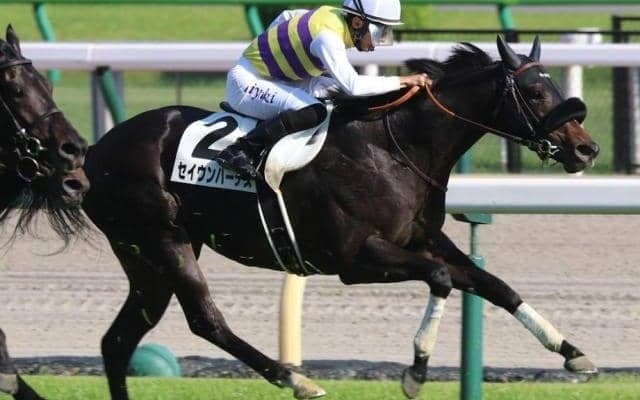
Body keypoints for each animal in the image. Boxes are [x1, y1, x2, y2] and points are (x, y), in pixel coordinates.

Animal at [82, 36, 599, 399]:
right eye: (534, 91)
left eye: (555, 86)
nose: (586, 149)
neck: (393, 149)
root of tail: (94, 152)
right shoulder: (355, 258)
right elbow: (440, 279)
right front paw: (416, 371)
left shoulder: (422, 238)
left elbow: (493, 284)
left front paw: (572, 352)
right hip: (162, 239)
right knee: (205, 321)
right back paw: (297, 380)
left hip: (147, 258)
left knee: (118, 340)